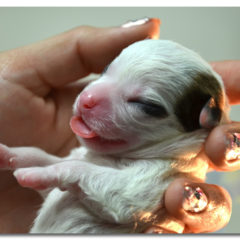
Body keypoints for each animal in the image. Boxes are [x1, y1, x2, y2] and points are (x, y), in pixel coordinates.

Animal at [0, 40, 230, 233]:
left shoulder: (157, 180)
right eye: (104, 70)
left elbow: (78, 170)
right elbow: (42, 157)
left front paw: (34, 174)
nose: (87, 100)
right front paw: (8, 154)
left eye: (145, 105)